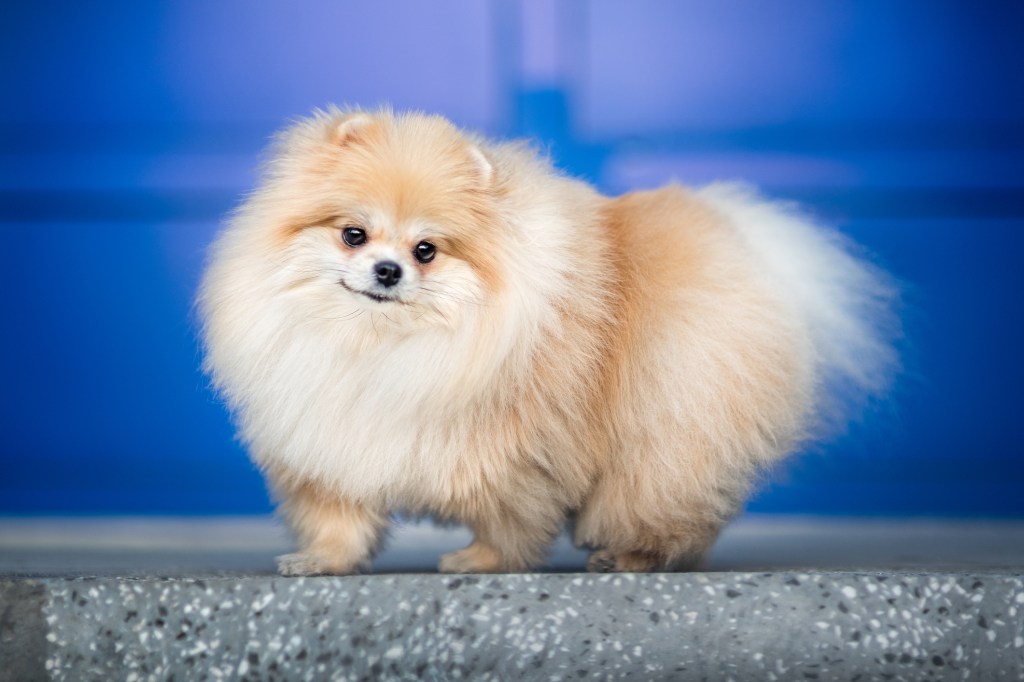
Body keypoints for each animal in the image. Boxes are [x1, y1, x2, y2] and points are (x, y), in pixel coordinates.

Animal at [197, 107, 897, 573]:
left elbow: (507, 522)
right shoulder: (328, 439)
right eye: (353, 235)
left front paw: (479, 562)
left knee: (669, 493)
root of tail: (733, 233)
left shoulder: (513, 455)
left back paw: (632, 556)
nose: (388, 270)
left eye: (426, 250)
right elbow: (338, 515)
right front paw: (321, 560)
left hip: (669, 422)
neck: (380, 347)